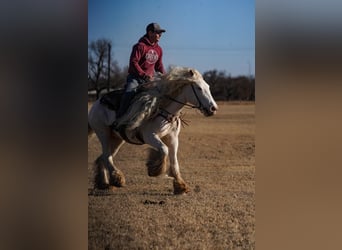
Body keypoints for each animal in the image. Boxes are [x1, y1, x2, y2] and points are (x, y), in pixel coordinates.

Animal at [87, 67, 218, 195]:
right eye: (199, 88)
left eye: (208, 87)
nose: (213, 108)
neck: (163, 110)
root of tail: (96, 103)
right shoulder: (149, 136)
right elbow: (164, 150)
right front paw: (154, 170)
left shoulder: (173, 139)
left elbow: (174, 162)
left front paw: (180, 186)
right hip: (103, 133)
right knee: (106, 156)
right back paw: (118, 179)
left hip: (117, 139)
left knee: (103, 157)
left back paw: (104, 184)